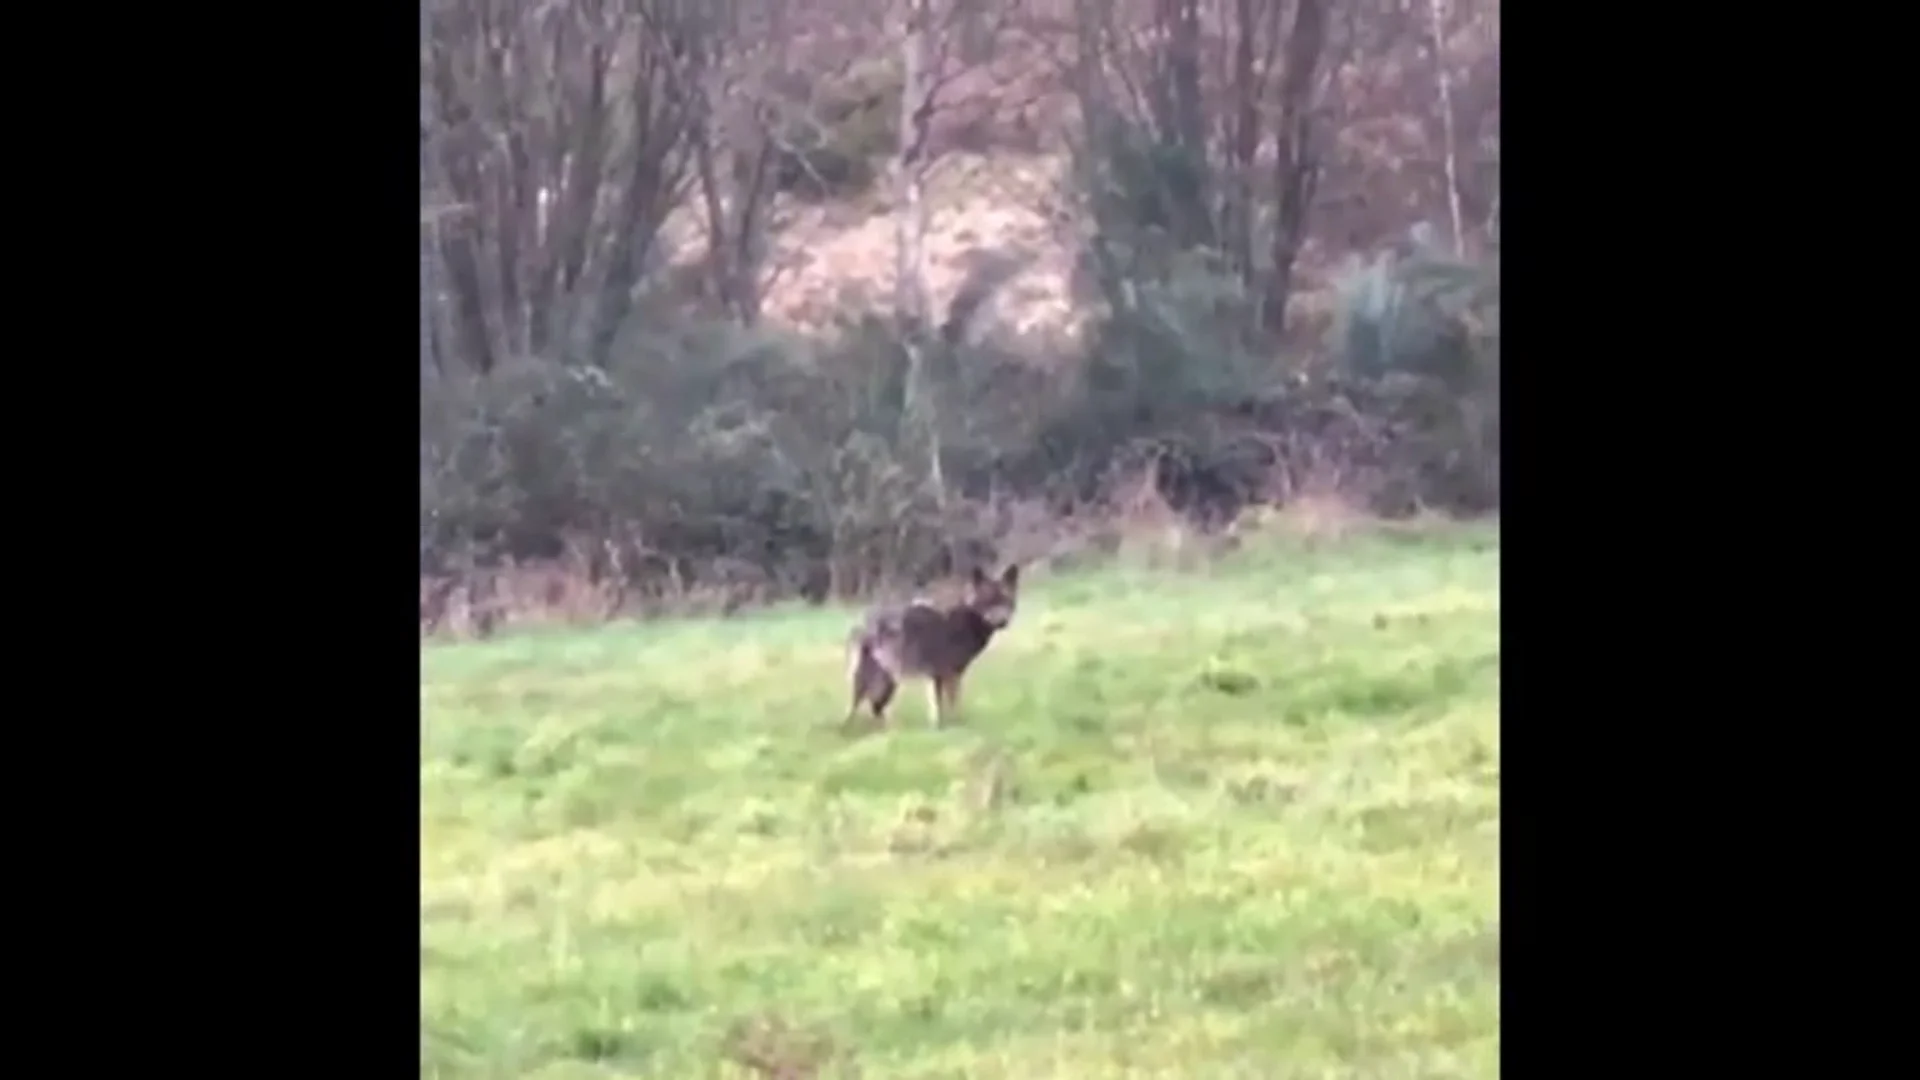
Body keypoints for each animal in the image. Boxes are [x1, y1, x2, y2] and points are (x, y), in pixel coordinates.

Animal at [840, 557, 1021, 726]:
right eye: (988, 601)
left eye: (1005, 600)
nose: (1002, 622)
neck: (967, 620)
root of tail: (861, 624)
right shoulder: (948, 674)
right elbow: (951, 704)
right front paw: (955, 725)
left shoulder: (941, 676)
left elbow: (941, 706)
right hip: (875, 681)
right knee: (859, 707)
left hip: (886, 682)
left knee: (875, 707)